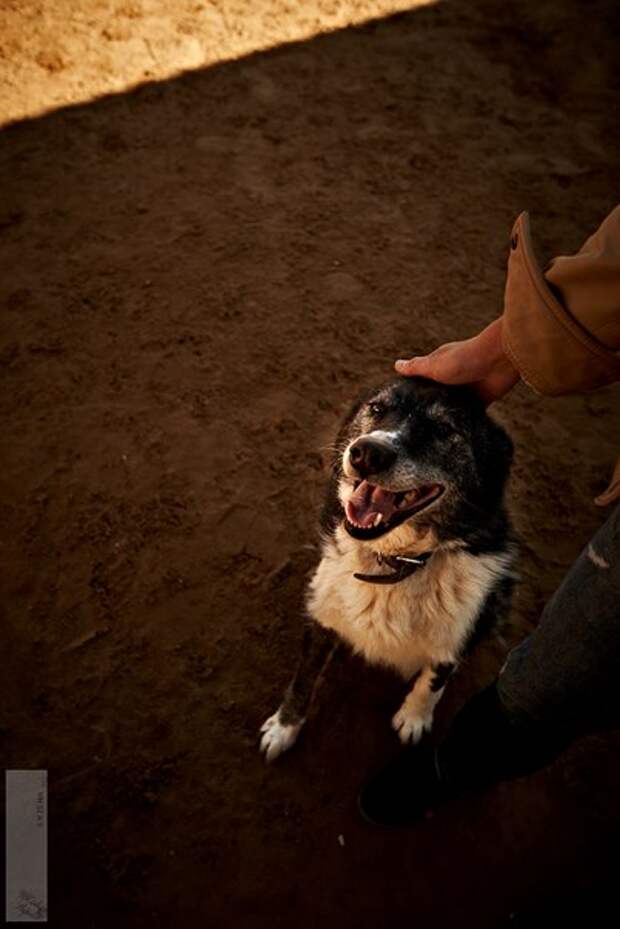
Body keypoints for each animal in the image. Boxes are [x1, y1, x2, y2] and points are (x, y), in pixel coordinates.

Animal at [260, 376, 516, 760]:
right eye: (377, 408)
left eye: (444, 429)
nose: (367, 453)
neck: (395, 563)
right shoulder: (323, 612)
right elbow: (303, 679)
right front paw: (283, 726)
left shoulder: (461, 629)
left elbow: (434, 679)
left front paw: (414, 718)